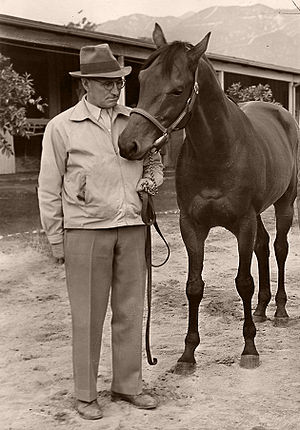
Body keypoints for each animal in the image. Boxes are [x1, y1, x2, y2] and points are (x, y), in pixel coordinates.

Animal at [118, 23, 298, 372]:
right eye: (142, 80)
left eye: (177, 90)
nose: (128, 144)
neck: (218, 151)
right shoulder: (192, 225)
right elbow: (194, 286)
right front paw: (188, 353)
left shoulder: (243, 223)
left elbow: (244, 282)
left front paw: (249, 348)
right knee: (263, 246)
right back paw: (261, 309)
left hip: (285, 203)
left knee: (280, 247)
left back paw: (281, 310)